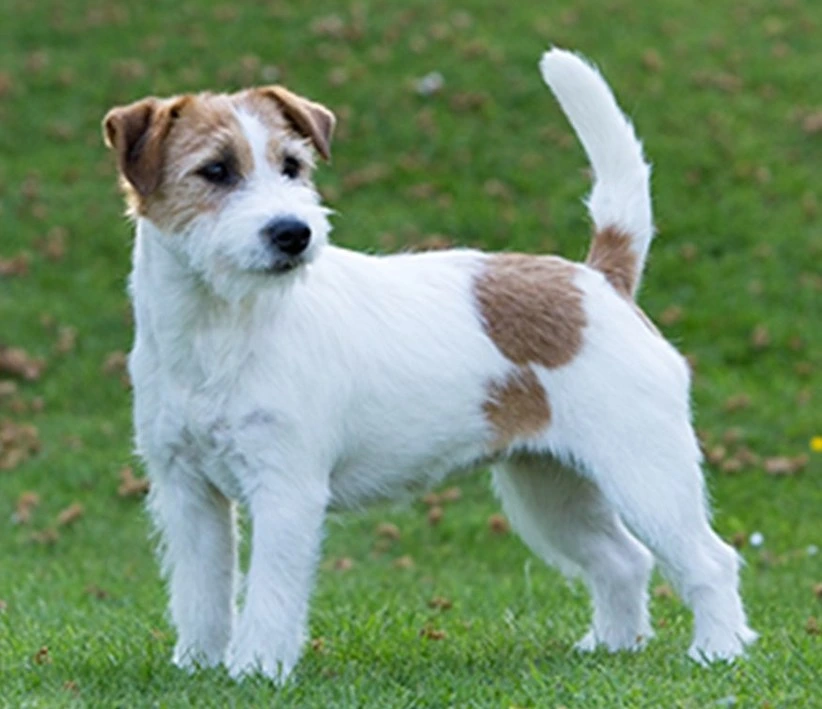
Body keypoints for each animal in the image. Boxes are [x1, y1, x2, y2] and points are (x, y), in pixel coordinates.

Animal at [100, 48, 756, 680]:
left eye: (292, 166)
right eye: (215, 170)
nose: (293, 233)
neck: (217, 330)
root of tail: (599, 279)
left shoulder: (285, 489)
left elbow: (270, 595)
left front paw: (256, 669)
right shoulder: (187, 491)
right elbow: (201, 592)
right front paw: (198, 665)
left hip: (647, 473)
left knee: (711, 560)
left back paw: (716, 651)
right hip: (550, 486)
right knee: (623, 560)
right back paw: (612, 647)